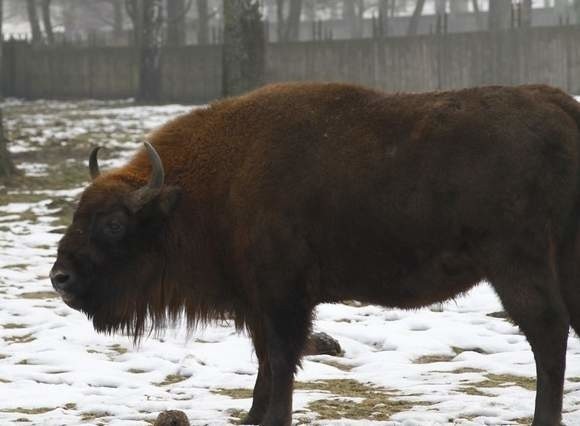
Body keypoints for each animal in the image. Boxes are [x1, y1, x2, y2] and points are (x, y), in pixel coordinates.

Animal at [49, 83, 580, 426]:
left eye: (114, 224)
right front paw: (251, 416)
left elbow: (282, 361)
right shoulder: (258, 303)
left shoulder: (284, 298)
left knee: (547, 335)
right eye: (79, 213)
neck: (210, 185)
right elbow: (265, 361)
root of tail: (560, 106)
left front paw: (272, 418)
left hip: (515, 266)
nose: (61, 278)